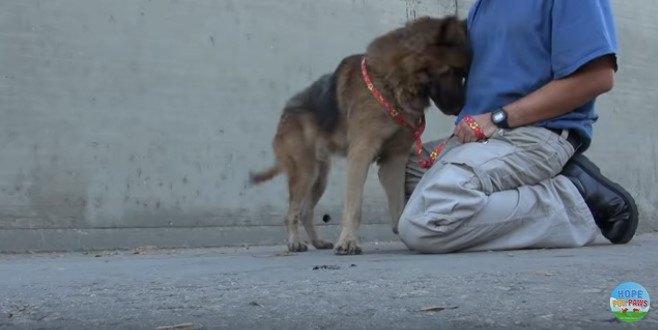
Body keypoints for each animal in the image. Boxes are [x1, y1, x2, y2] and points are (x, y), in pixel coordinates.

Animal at [249, 16, 468, 255]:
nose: (460, 109)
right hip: (306, 173)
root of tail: (285, 114)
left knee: (306, 212)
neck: (394, 82)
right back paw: (294, 242)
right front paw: (348, 241)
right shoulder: (360, 155)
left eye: (463, 74)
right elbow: (354, 206)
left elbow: (398, 205)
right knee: (292, 213)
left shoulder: (394, 160)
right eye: (453, 72)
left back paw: (317, 242)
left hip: (320, 178)